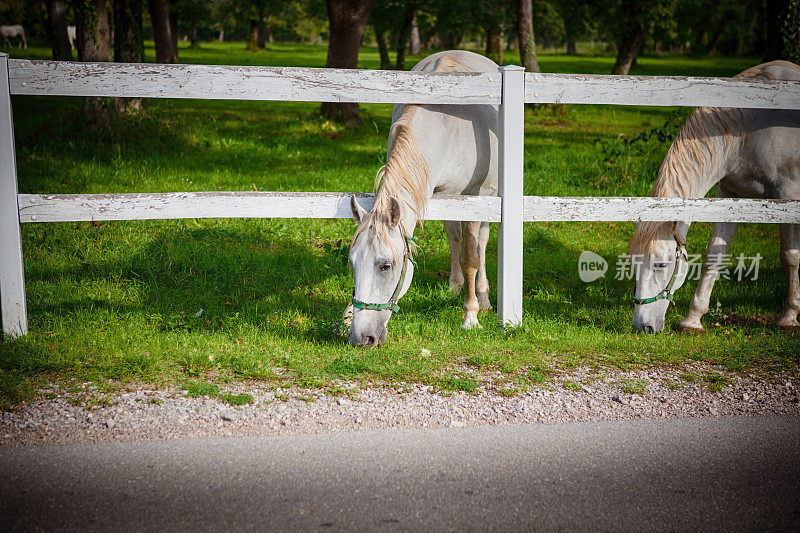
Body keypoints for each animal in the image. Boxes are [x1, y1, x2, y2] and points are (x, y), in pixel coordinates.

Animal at [346, 52, 496, 348]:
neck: (447, 127)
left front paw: (471, 316)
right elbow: (457, 242)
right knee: (454, 236)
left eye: (385, 266)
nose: (361, 337)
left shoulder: (474, 198)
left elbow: (471, 257)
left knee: (482, 241)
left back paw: (483, 296)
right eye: (352, 262)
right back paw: (454, 286)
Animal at [632, 60, 800, 330]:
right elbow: (714, 255)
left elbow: (790, 257)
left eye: (661, 264)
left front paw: (790, 316)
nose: (641, 325)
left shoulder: (787, 196)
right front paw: (693, 318)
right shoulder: (731, 195)